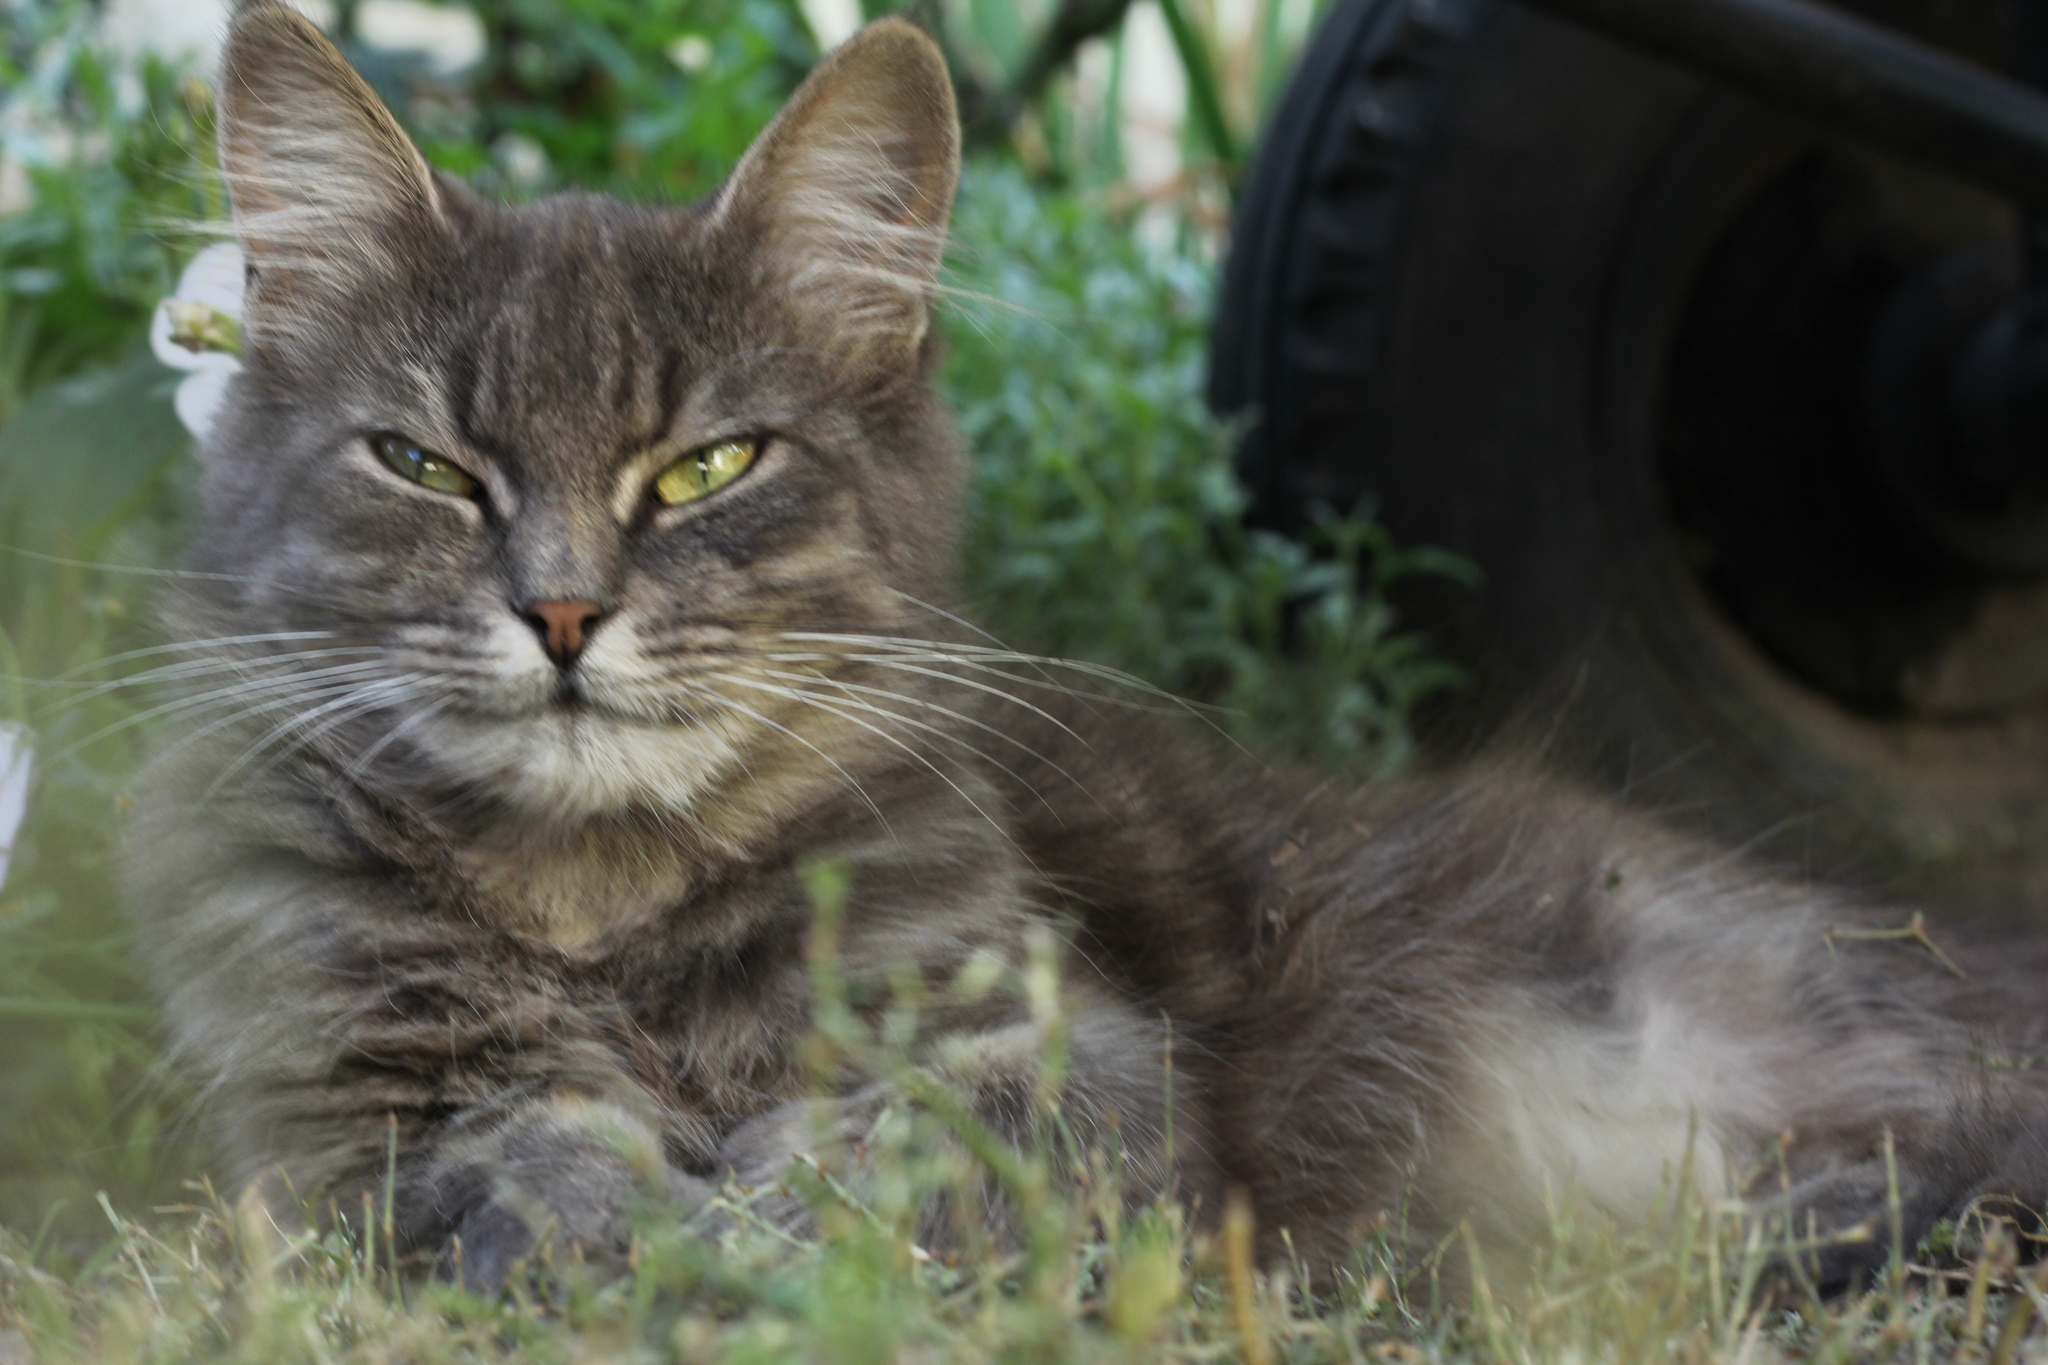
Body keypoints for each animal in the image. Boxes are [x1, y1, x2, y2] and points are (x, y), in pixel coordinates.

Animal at [128, 0, 2048, 1293]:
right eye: (427, 468)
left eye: (705, 470)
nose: (563, 612)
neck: (602, 901)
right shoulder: (365, 1107)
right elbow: (538, 1179)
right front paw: (657, 1244)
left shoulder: (1065, 1060)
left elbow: (886, 1173)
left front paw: (748, 1240)